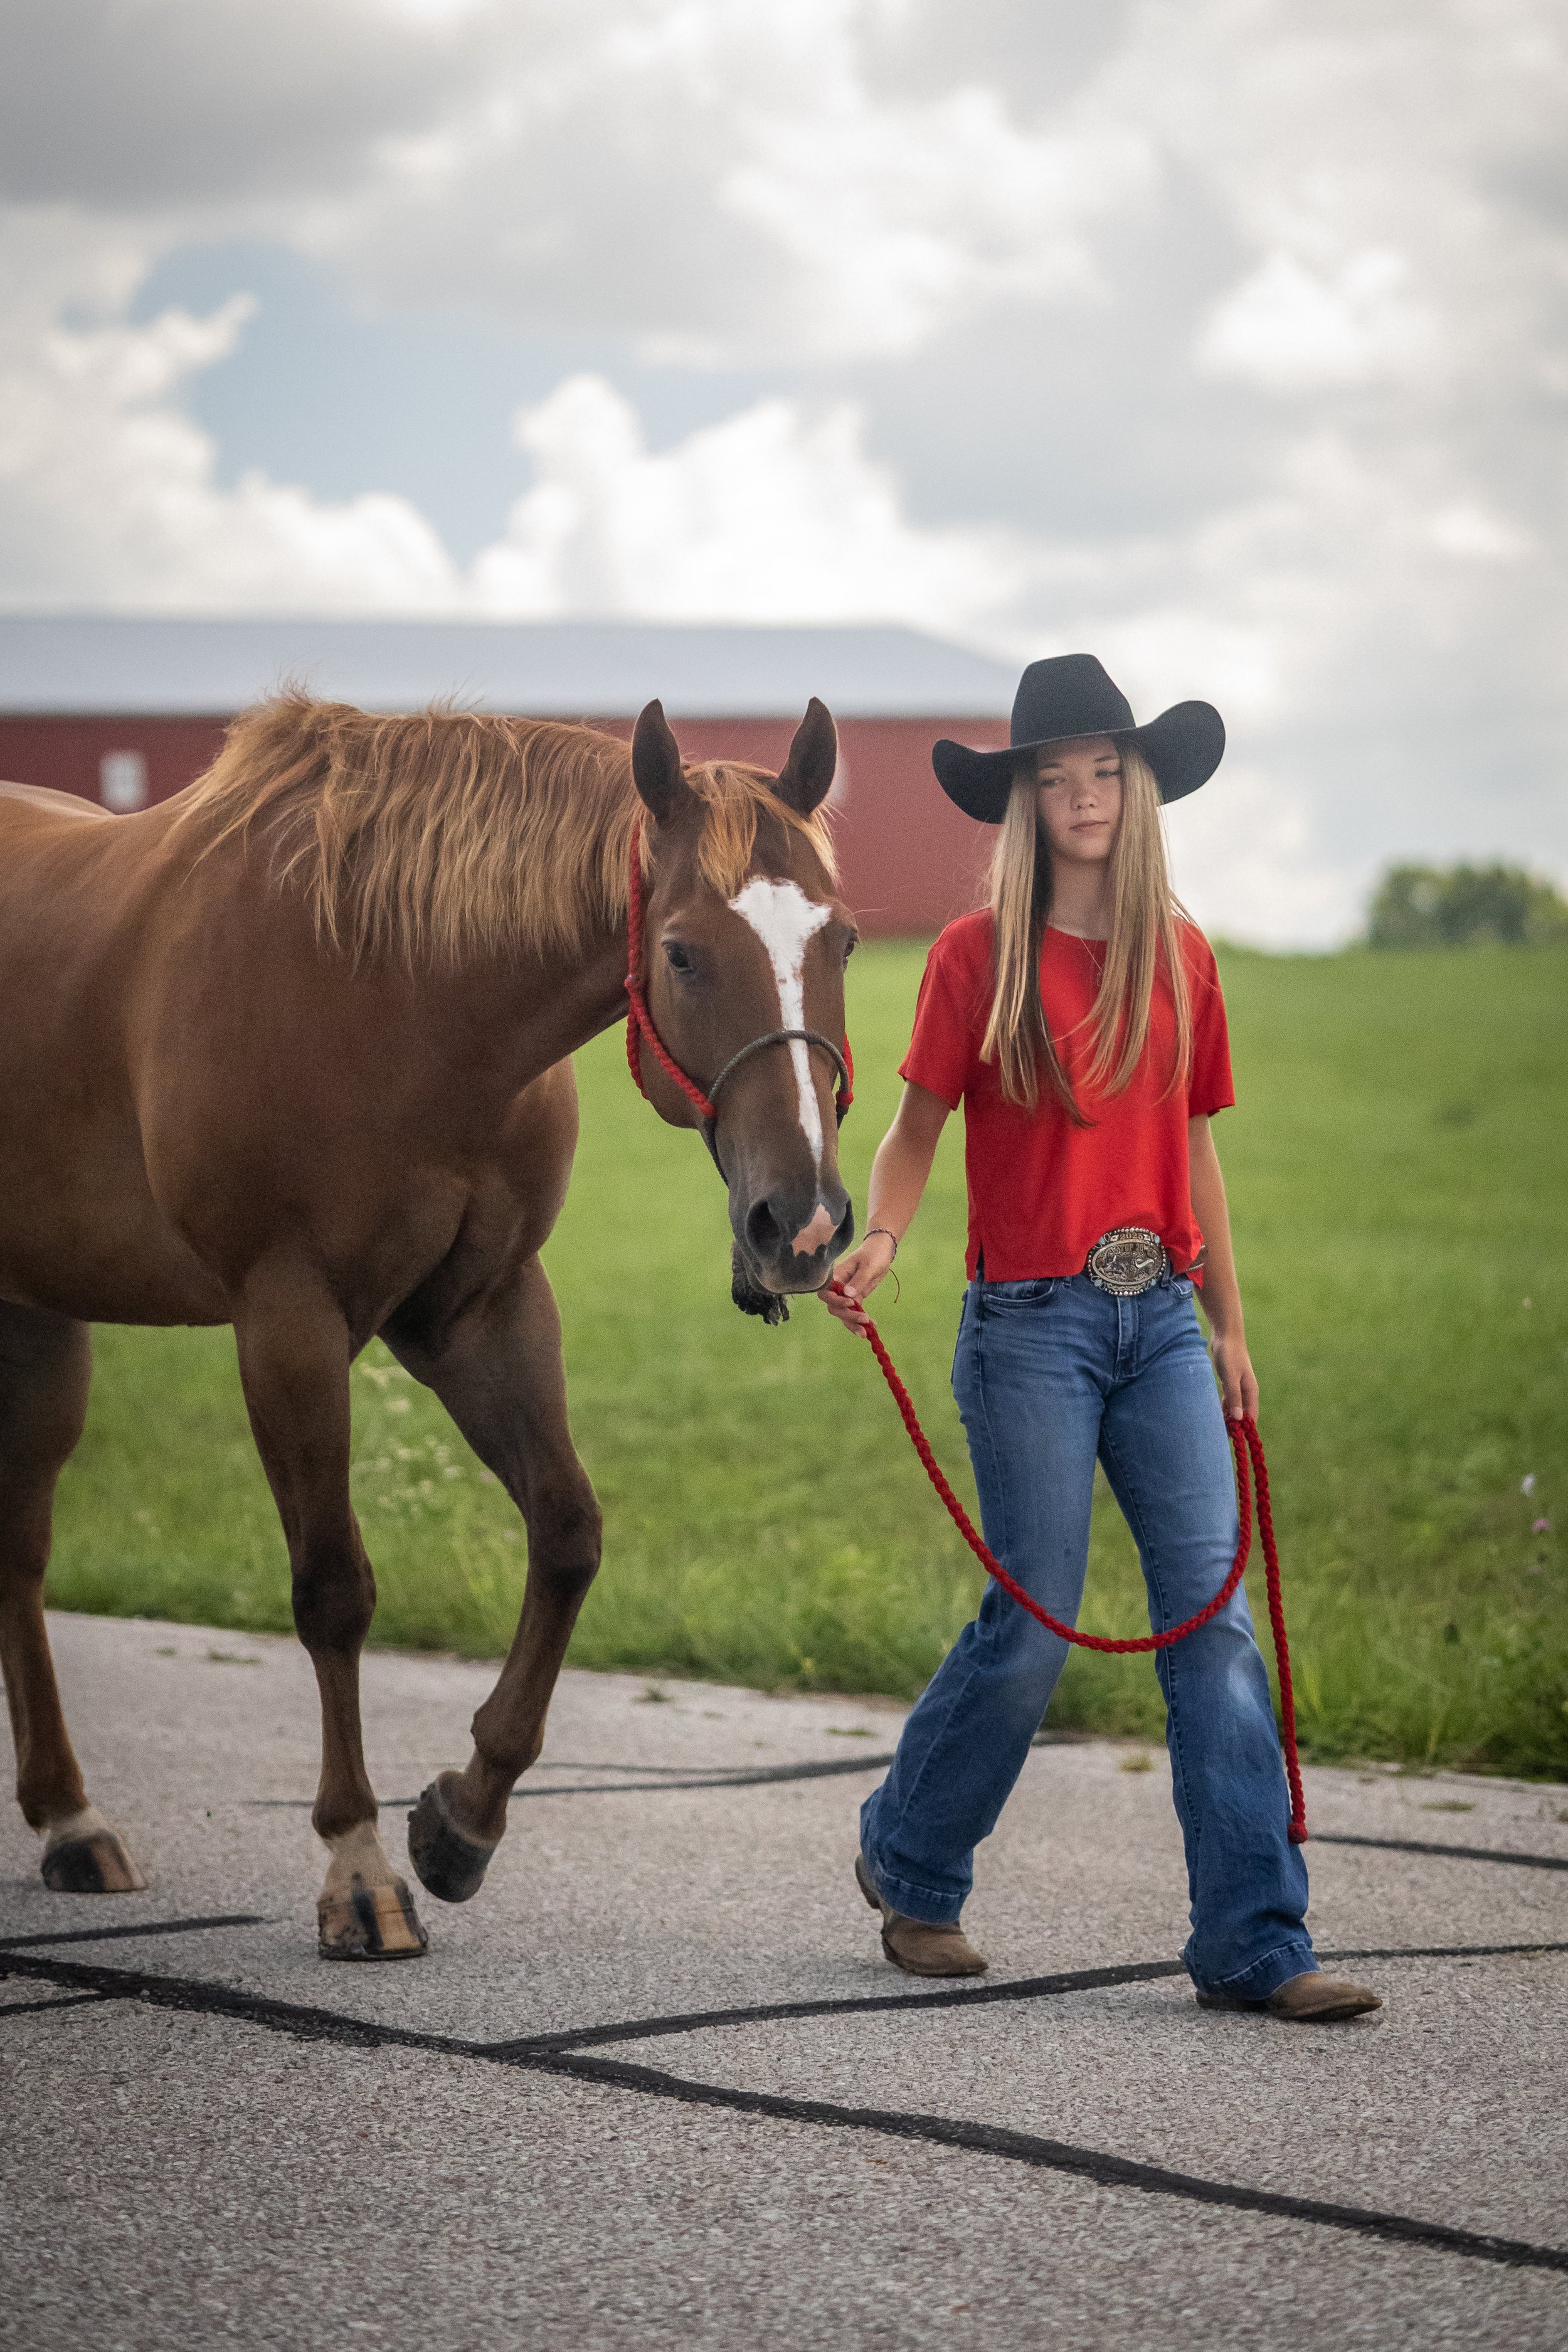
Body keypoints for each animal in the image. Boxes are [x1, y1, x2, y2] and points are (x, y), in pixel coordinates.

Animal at [0, 692, 857, 1958]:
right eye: (682, 952)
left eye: (839, 942)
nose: (800, 1223)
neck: (398, 998)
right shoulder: (289, 1321)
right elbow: (332, 1589)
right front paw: (358, 1869)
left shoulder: (483, 1308)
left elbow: (567, 1533)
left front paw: (464, 1817)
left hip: (41, 1321)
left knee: (19, 1551)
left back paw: (69, 1819)